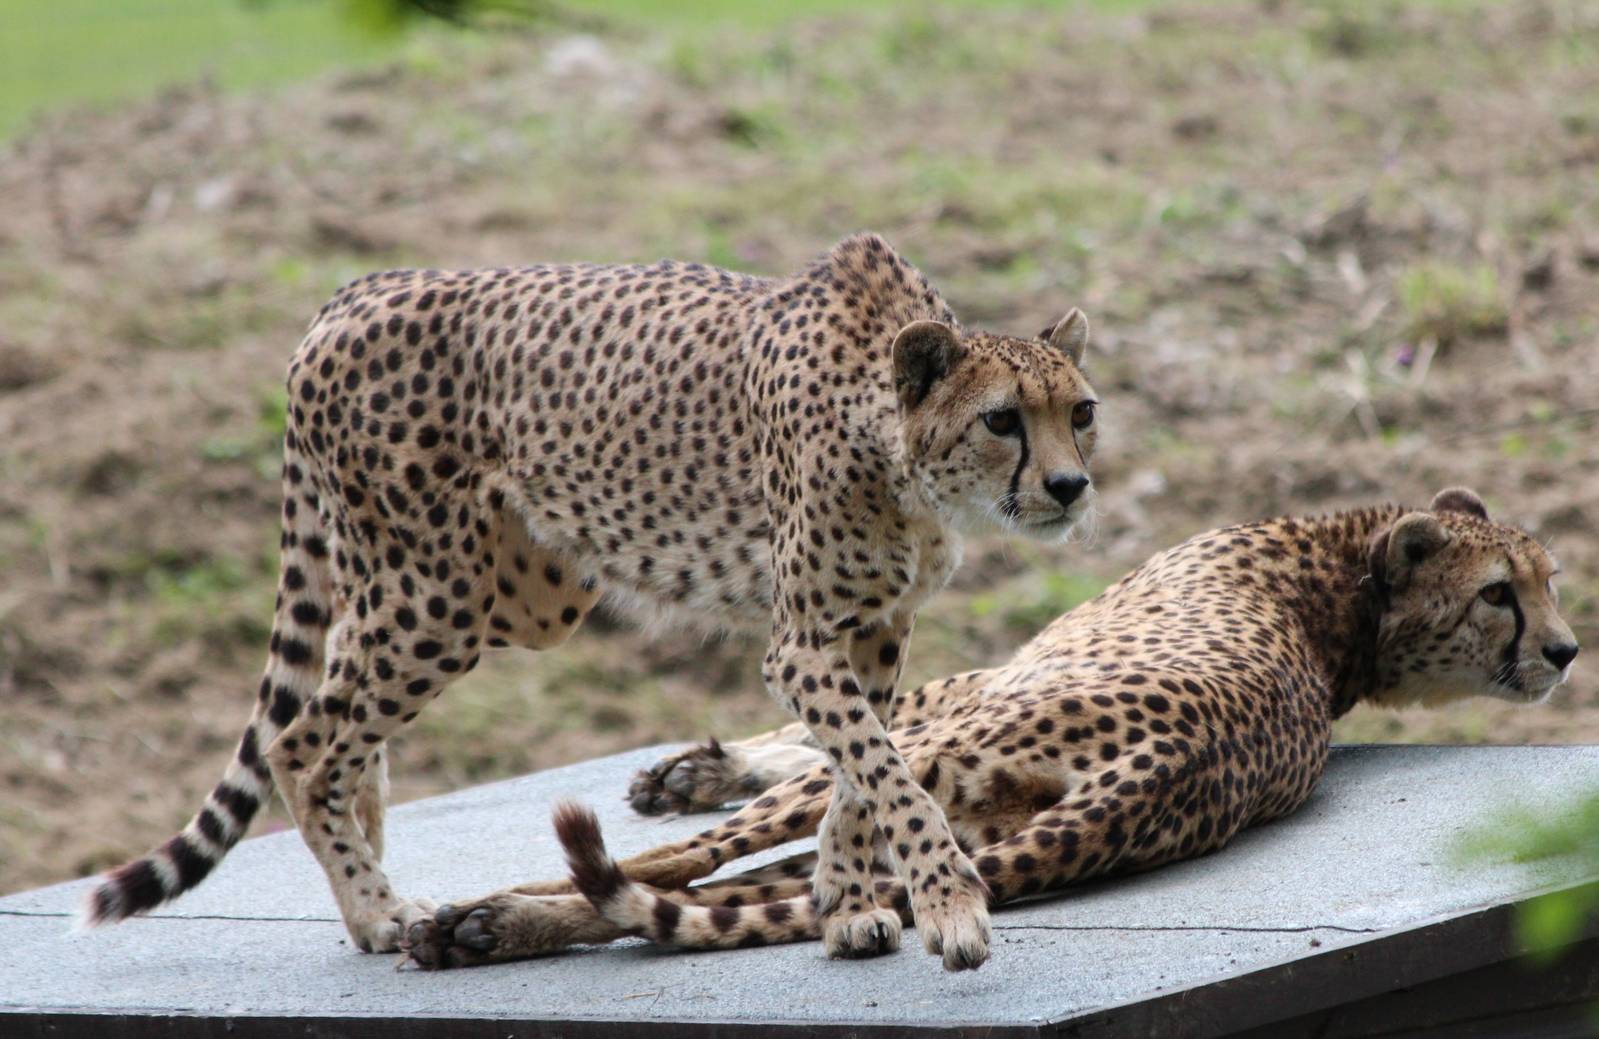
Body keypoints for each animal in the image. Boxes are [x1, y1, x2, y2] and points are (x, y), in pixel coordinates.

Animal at [82, 232, 1103, 971]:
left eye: (1080, 411)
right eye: (1001, 419)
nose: (1068, 486)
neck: (901, 455)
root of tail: (363, 285)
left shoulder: (878, 631)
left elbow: (861, 778)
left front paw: (846, 904)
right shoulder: (804, 643)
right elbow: (889, 775)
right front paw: (949, 905)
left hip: (491, 593)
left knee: (344, 723)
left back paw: (371, 884)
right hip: (437, 596)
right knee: (301, 742)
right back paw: (375, 911)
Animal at [395, 487, 1578, 969]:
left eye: (1542, 586)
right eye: (1503, 592)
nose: (1567, 650)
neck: (1335, 587)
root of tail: (1172, 763)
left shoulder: (952, 691)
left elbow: (814, 730)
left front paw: (704, 765)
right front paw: (700, 761)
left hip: (935, 765)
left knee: (675, 873)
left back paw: (474, 913)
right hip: (964, 817)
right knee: (754, 891)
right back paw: (484, 924)